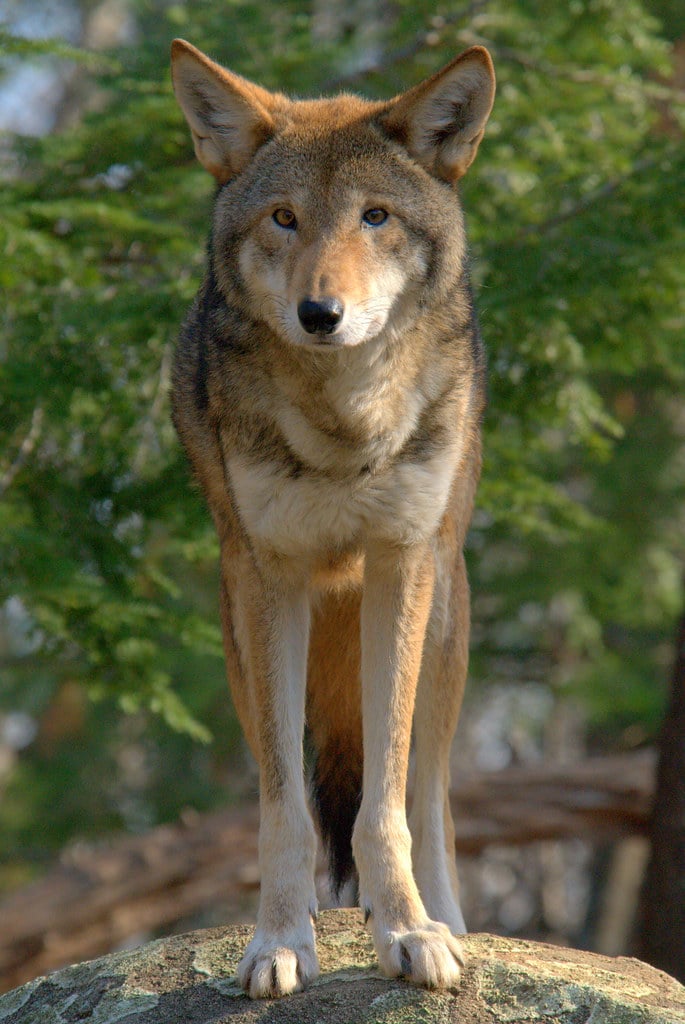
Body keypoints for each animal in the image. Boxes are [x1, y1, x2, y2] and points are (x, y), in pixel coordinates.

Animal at [170, 37, 495, 998]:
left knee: (430, 787)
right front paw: (279, 941)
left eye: (375, 217)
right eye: (283, 218)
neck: (344, 425)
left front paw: (412, 933)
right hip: (239, 623)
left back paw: (447, 917)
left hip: (446, 613)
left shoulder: (400, 561)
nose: (321, 314)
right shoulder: (267, 580)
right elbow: (285, 807)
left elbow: (385, 801)